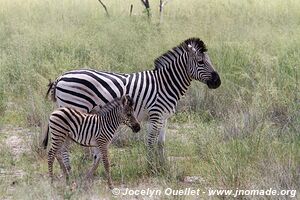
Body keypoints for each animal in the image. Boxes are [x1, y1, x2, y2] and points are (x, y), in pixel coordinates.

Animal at [46, 37, 220, 167]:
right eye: (200, 62)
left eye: (209, 60)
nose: (217, 82)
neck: (165, 84)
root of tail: (60, 77)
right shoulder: (156, 115)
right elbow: (150, 142)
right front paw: (150, 166)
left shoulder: (164, 117)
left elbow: (161, 143)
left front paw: (163, 166)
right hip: (74, 109)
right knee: (63, 147)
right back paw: (69, 171)